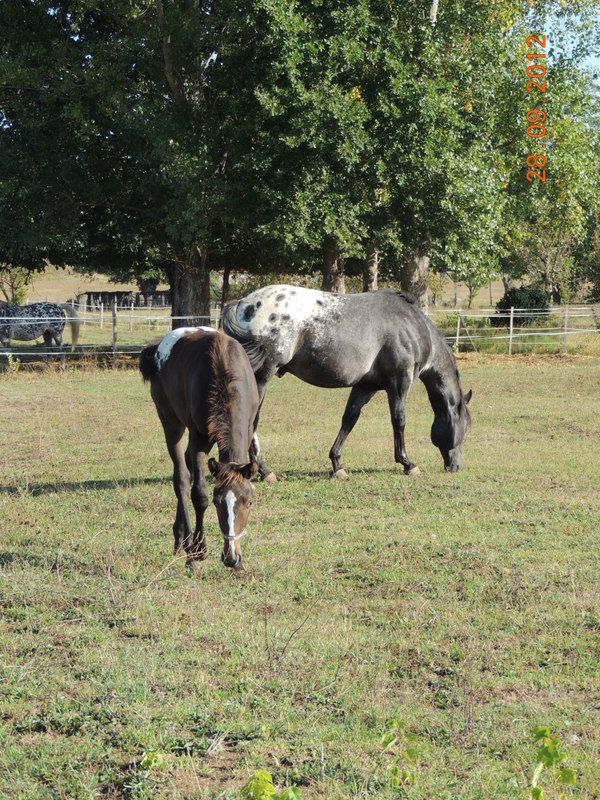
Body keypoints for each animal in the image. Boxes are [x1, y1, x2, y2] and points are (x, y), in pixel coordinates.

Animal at [142, 328, 262, 572]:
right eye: (217, 502)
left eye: (249, 502)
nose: (231, 557)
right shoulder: (199, 439)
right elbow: (199, 493)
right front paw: (197, 552)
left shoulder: (247, 430)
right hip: (171, 423)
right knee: (181, 478)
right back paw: (187, 544)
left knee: (186, 472)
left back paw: (180, 537)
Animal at [223, 284, 472, 478]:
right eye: (466, 426)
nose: (456, 466)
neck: (411, 326)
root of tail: (243, 304)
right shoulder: (400, 382)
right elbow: (399, 420)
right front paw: (407, 463)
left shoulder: (365, 386)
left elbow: (349, 420)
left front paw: (337, 464)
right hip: (261, 378)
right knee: (251, 419)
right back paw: (264, 470)